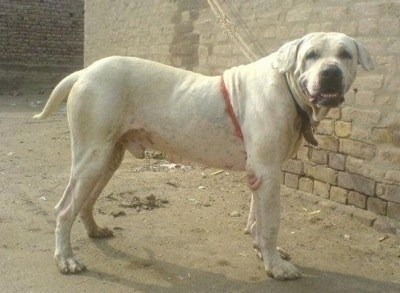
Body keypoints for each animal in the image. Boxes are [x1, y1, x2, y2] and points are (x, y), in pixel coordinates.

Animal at [32, 31, 374, 278]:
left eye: (345, 55)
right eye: (311, 55)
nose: (330, 73)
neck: (288, 87)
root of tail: (83, 72)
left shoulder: (261, 172)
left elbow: (257, 219)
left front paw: (262, 251)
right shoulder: (268, 172)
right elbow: (271, 223)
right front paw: (276, 267)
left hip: (108, 157)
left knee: (85, 201)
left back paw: (94, 230)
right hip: (93, 155)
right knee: (64, 209)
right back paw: (66, 259)